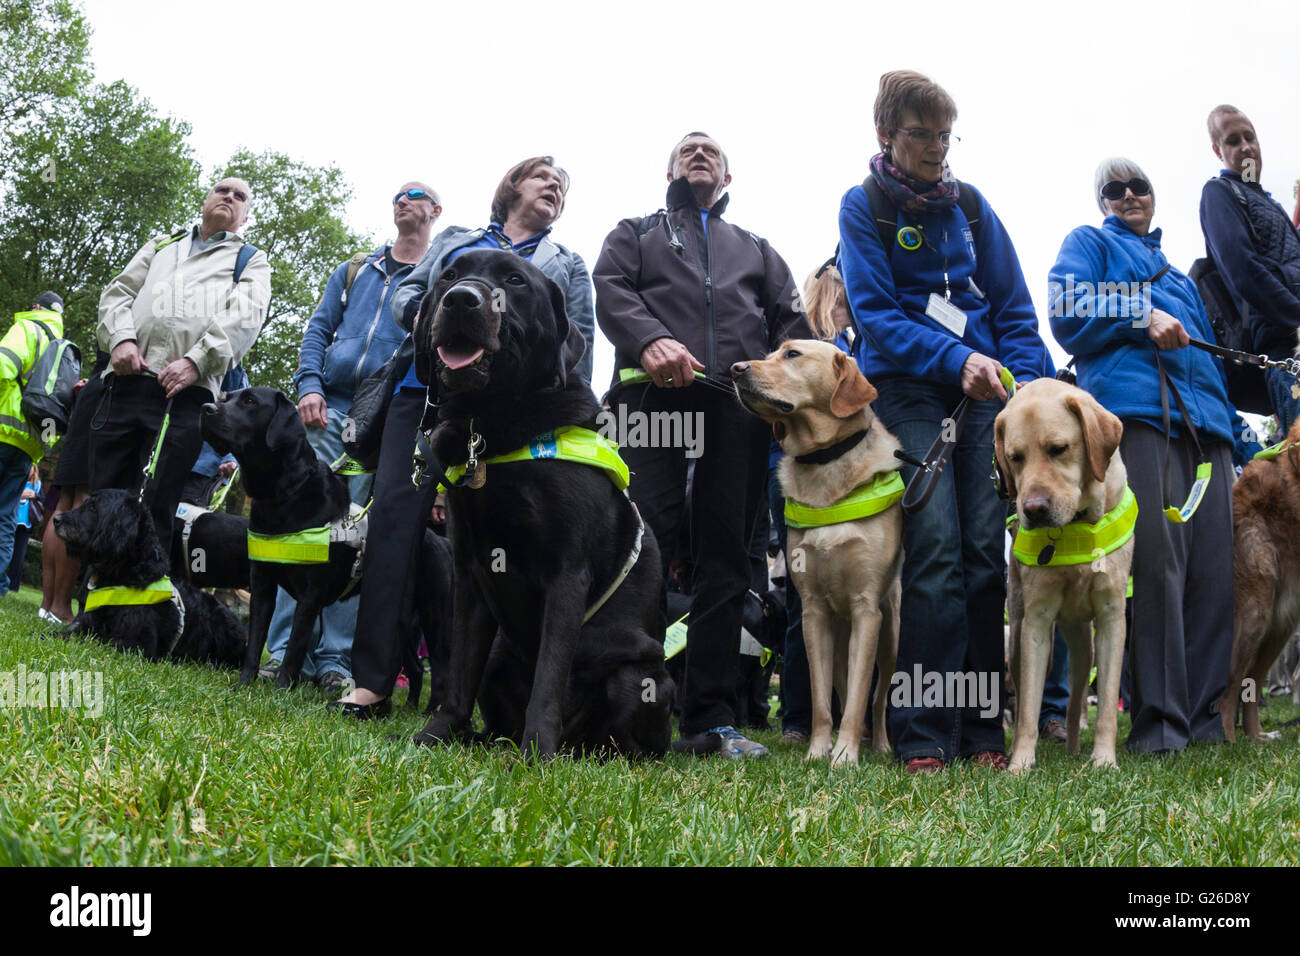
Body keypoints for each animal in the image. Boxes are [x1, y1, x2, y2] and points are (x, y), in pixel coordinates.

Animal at [53, 489, 245, 671]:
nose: (56, 519)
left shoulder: (135, 645)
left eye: (93, 507)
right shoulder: (87, 624)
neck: (124, 574)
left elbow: (95, 642)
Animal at [410, 251, 676, 759]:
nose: (460, 300)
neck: (491, 426)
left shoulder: (567, 572)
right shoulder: (469, 570)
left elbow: (548, 678)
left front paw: (537, 754)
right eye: (450, 275)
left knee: (628, 744)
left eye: (515, 280)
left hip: (638, 676)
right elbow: (460, 674)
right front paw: (433, 736)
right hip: (500, 657)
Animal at [733, 340, 904, 764]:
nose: (735, 369)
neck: (826, 461)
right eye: (769, 354)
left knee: (877, 697)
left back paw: (879, 744)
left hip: (889, 633)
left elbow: (860, 698)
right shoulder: (813, 613)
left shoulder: (867, 612)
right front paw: (818, 752)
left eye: (792, 354)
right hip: (841, 639)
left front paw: (844, 758)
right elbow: (823, 700)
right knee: (840, 688)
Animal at [987, 377, 1133, 775]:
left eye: (1059, 449)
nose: (1034, 509)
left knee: (1075, 702)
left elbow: (1107, 708)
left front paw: (1104, 761)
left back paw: (1073, 749)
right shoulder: (1036, 622)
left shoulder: (1112, 618)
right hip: (1018, 634)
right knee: (1026, 695)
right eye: (1015, 457)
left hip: (1084, 649)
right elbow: (1027, 710)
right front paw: (1020, 764)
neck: (1076, 527)